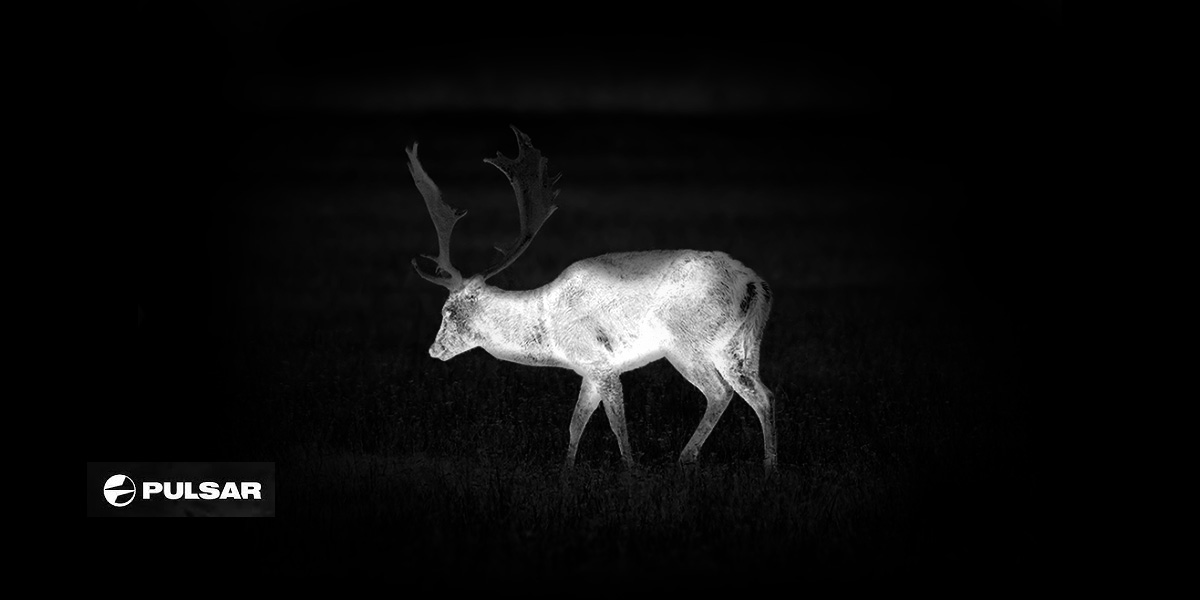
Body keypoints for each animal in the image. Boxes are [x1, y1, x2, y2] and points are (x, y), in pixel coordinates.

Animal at [405, 125, 777, 472]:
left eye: (448, 311)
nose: (434, 349)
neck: (549, 330)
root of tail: (756, 285)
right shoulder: (587, 369)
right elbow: (576, 421)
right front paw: (566, 470)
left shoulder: (600, 360)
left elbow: (615, 423)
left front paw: (631, 470)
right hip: (736, 346)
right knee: (763, 395)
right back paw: (770, 466)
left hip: (687, 342)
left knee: (720, 392)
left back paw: (686, 458)